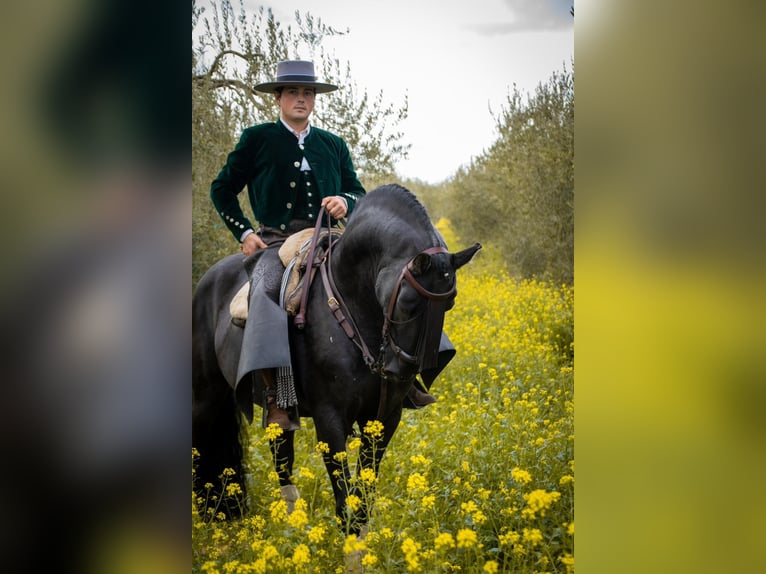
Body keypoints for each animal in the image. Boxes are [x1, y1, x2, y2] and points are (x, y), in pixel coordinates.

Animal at [192, 184, 480, 536]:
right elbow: (344, 500)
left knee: (281, 456)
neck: (356, 307)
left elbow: (364, 493)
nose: (399, 371)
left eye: (449, 303)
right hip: (206, 396)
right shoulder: (330, 420)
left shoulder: (385, 417)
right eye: (408, 301)